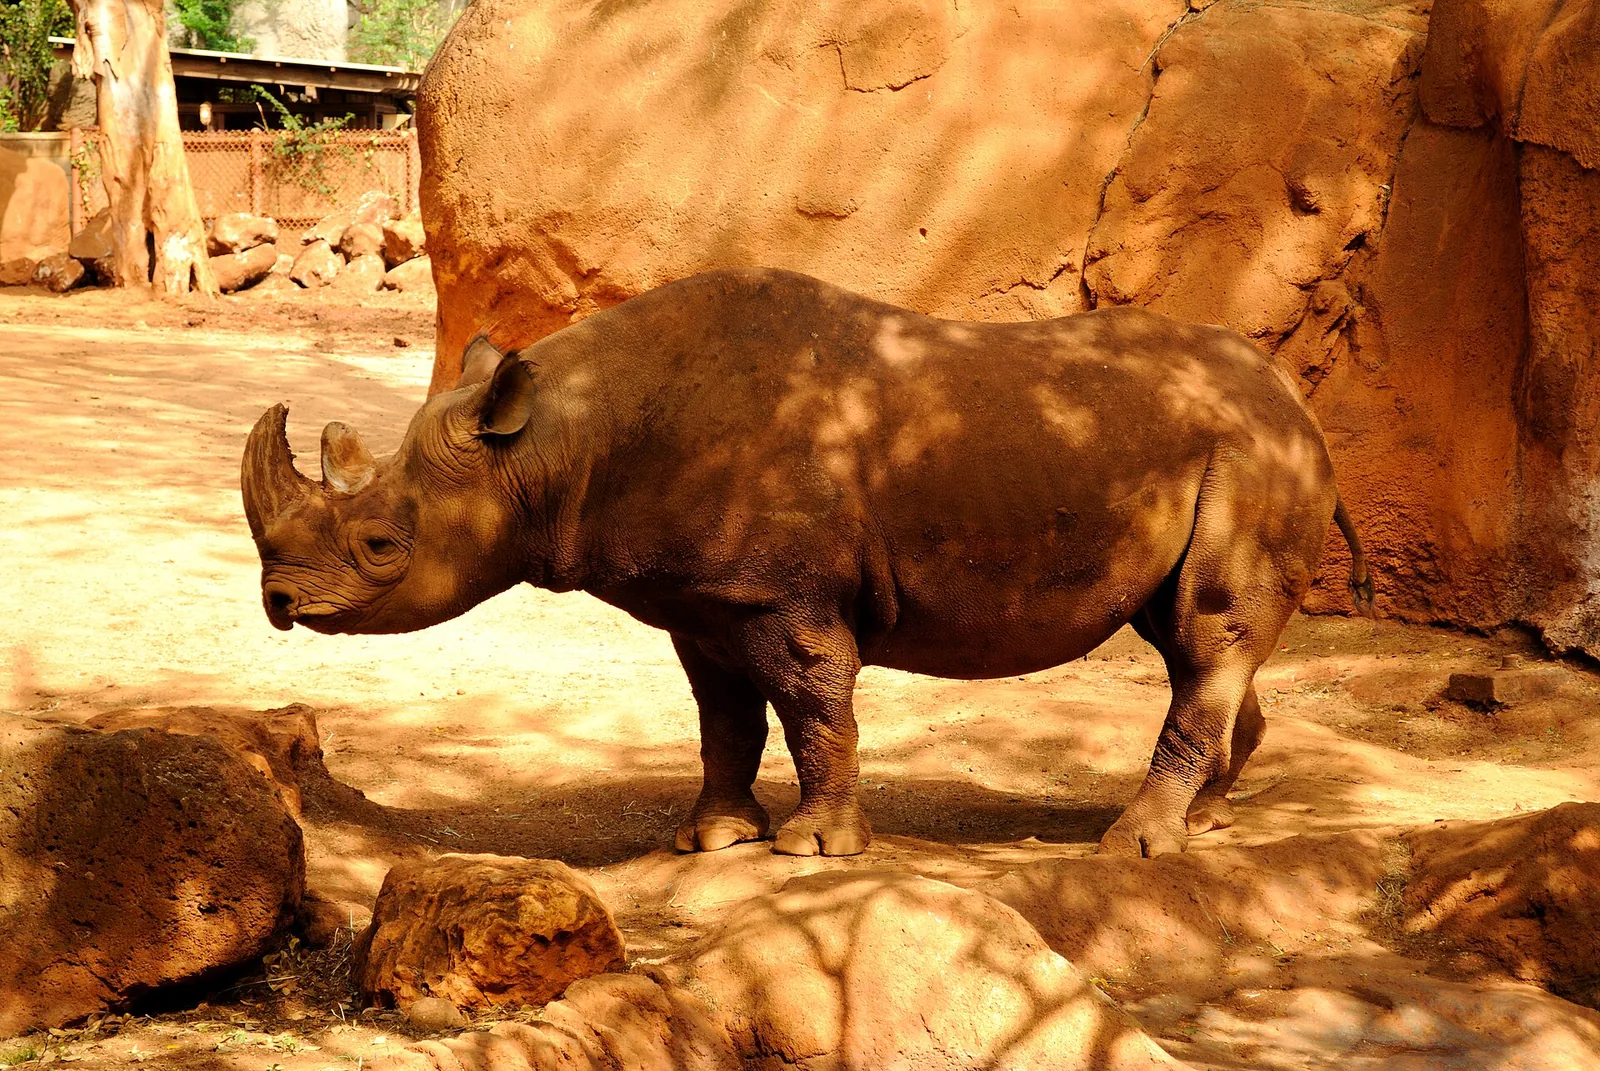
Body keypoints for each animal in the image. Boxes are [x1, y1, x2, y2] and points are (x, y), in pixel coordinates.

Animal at [242, 267, 1371, 858]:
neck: (555, 444)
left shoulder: (783, 595)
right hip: (1211, 449)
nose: (280, 602)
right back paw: (1209, 823)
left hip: (1249, 453)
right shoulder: (701, 599)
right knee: (1197, 641)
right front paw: (715, 840)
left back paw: (1135, 845)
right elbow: (725, 720)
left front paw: (812, 849)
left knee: (1204, 635)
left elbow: (815, 707)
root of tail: (1296, 397)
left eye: (382, 547)